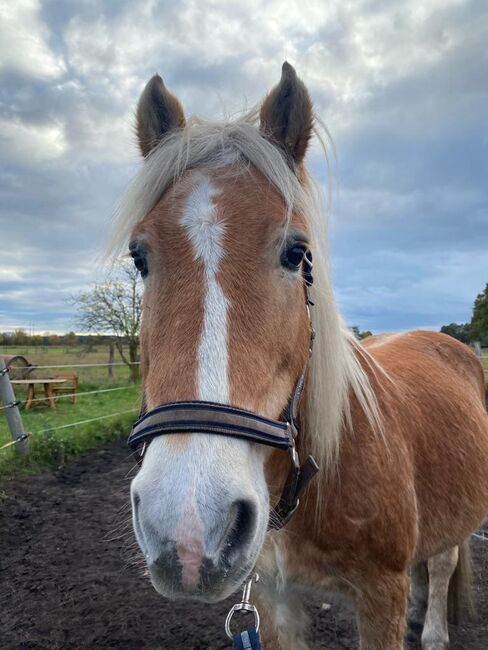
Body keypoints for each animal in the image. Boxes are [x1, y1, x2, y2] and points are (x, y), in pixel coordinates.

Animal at [109, 62, 488, 648]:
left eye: (296, 253)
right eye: (139, 257)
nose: (190, 533)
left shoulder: (381, 594)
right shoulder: (270, 598)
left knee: (444, 562)